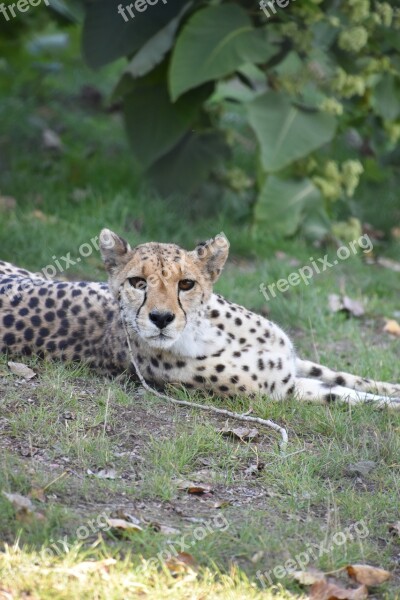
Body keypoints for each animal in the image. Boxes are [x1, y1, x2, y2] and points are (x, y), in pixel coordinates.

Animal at [0, 229, 398, 408]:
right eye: (138, 283)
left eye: (186, 283)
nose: (161, 318)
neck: (212, 332)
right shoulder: (282, 390)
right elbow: (346, 395)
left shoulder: (292, 361)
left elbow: (350, 379)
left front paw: (389, 389)